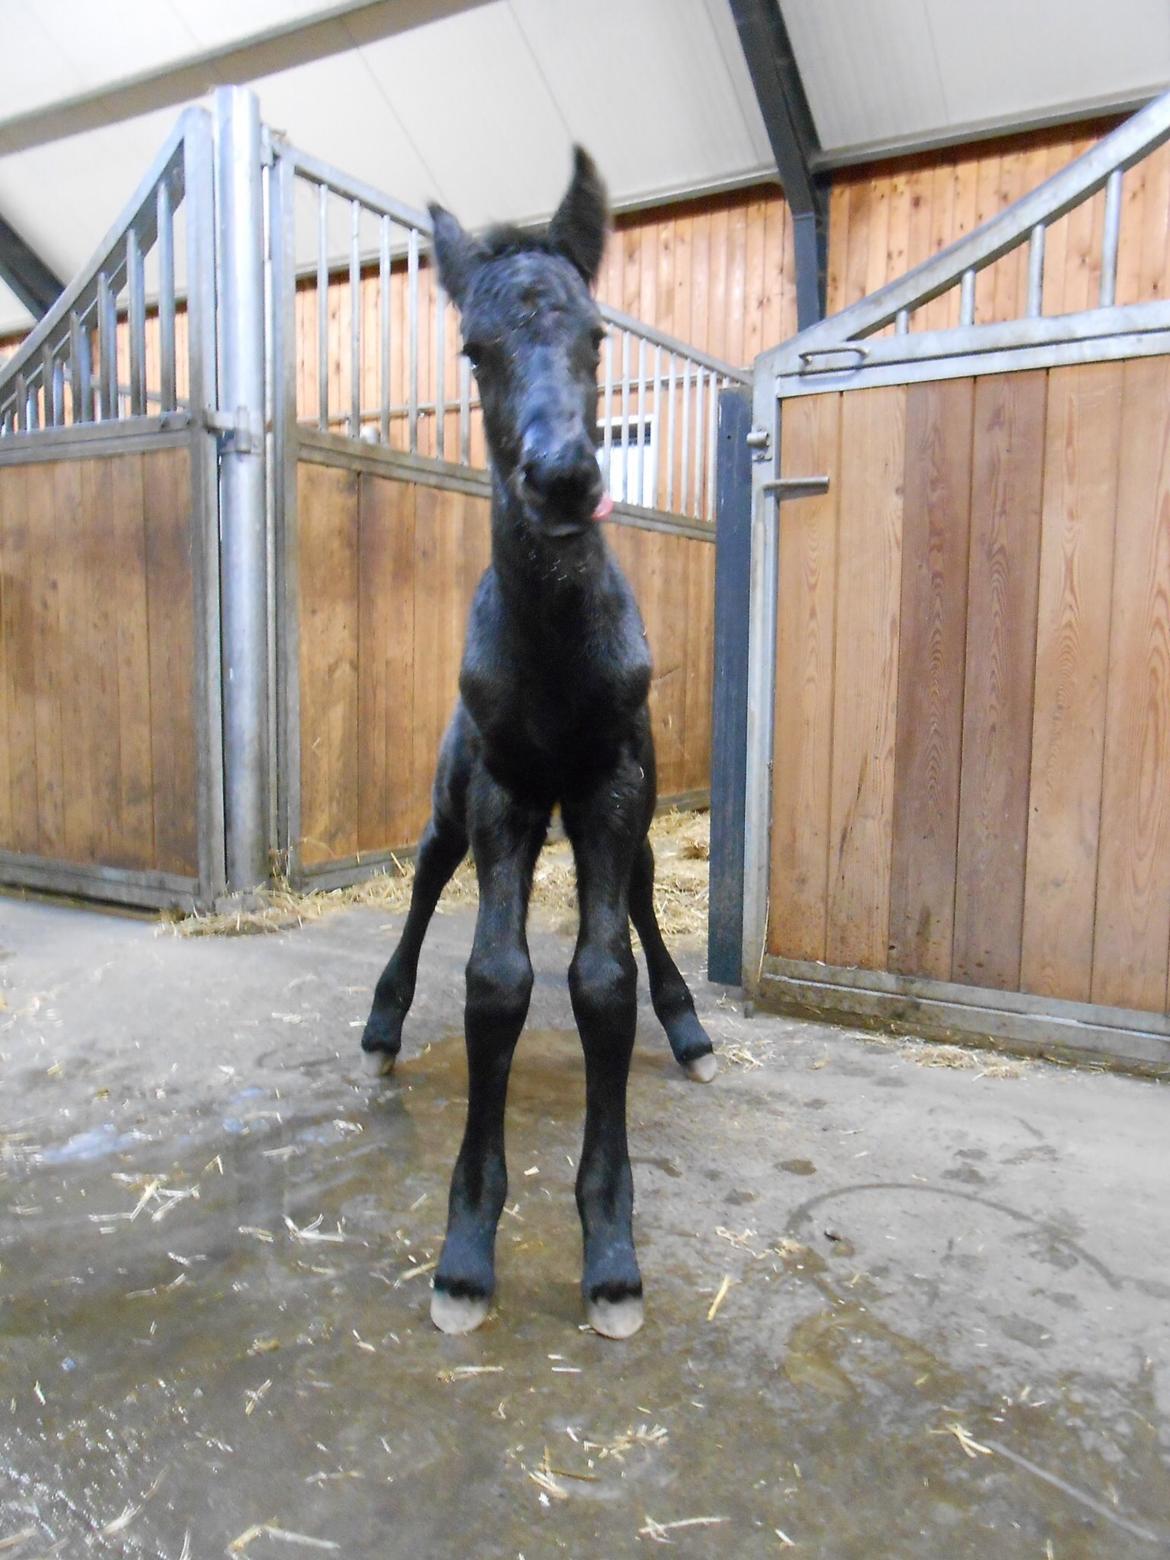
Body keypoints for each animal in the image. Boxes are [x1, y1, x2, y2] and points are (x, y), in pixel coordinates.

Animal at [365, 148, 714, 1341]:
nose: (564, 476)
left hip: (635, 817)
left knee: (646, 903)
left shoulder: (611, 788)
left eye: (599, 336)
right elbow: (495, 980)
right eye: (474, 348)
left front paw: (610, 1250)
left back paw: (690, 1029)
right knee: (427, 880)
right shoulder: (505, 791)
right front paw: (467, 1250)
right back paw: (380, 1024)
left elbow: (602, 979)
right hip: (447, 799)